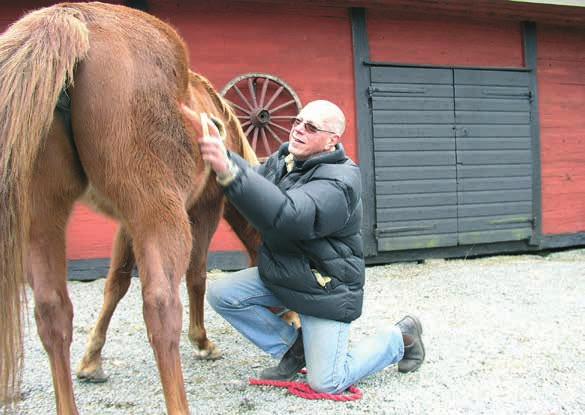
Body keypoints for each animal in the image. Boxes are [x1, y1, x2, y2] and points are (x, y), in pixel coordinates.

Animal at [0, 3, 256, 415]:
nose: (297, 320)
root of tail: (73, 16)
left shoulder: (127, 223)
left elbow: (115, 283)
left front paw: (91, 361)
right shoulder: (201, 210)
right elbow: (196, 274)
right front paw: (201, 342)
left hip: (43, 218)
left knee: (53, 311)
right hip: (160, 216)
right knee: (160, 307)